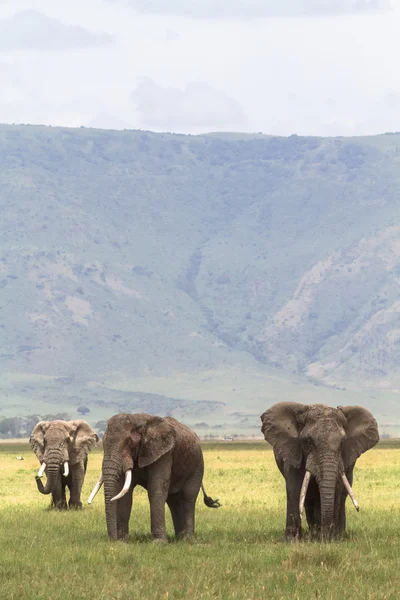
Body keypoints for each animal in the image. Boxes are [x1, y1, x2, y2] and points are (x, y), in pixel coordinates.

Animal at [87, 414, 220, 540]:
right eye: (102, 444)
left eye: (130, 442)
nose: (112, 539)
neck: (137, 420)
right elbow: (125, 494)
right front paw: (122, 541)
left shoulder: (164, 454)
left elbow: (156, 490)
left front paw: (159, 542)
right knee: (173, 500)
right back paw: (179, 537)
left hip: (197, 465)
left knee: (188, 497)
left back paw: (187, 539)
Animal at [260, 404, 380, 540]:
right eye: (307, 441)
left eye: (342, 442)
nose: (326, 536)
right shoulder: (293, 452)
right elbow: (295, 487)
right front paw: (292, 540)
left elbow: (336, 488)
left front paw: (331, 538)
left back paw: (333, 533)